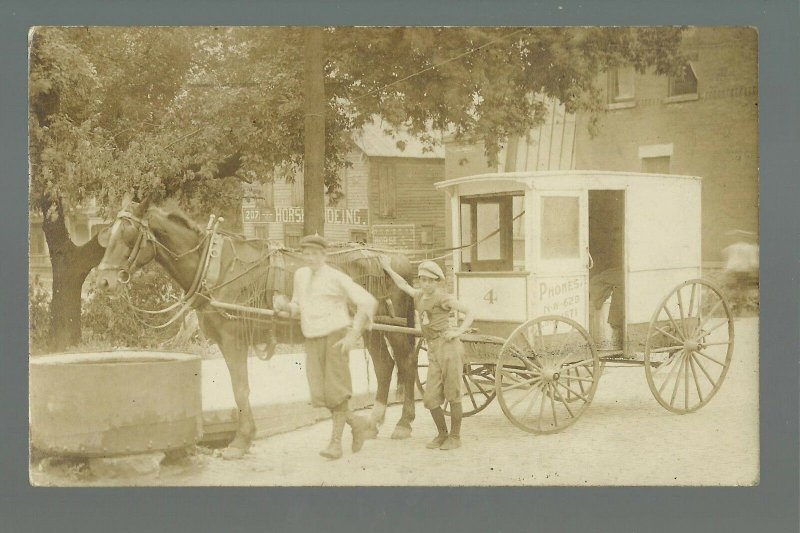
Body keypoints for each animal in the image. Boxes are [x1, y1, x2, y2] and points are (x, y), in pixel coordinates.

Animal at [94, 197, 418, 460]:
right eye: (107, 235)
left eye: (128, 235)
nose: (103, 281)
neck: (215, 267)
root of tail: (400, 258)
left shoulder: (232, 340)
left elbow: (240, 389)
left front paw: (240, 441)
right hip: (372, 329)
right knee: (385, 366)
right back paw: (373, 422)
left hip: (395, 328)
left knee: (406, 364)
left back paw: (404, 423)